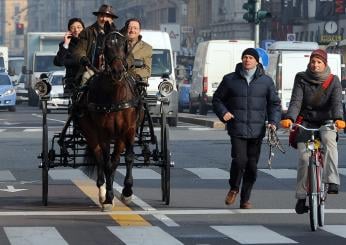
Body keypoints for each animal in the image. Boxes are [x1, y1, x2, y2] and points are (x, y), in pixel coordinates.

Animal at [76, 25, 140, 212]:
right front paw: (109, 198)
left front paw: (127, 192)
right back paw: (102, 191)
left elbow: (127, 158)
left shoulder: (128, 129)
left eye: (124, 45)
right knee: (99, 158)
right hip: (90, 132)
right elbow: (107, 163)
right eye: (107, 46)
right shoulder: (103, 132)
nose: (118, 71)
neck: (115, 95)